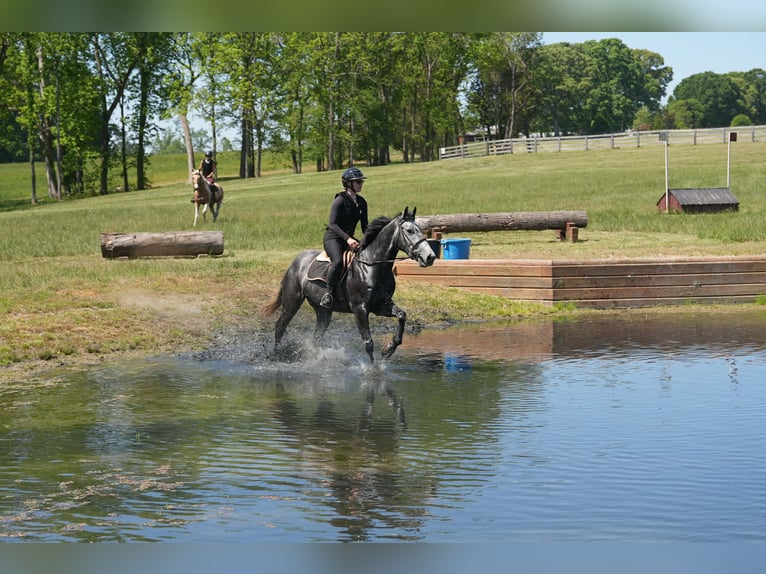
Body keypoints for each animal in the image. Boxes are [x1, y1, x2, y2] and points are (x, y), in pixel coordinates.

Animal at [259, 206, 436, 363]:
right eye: (410, 231)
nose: (430, 257)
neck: (373, 265)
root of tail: (296, 262)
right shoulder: (360, 309)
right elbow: (368, 343)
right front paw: (374, 370)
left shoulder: (381, 305)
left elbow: (401, 316)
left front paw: (388, 350)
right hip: (292, 302)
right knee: (280, 326)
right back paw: (277, 355)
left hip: (323, 312)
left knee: (316, 336)